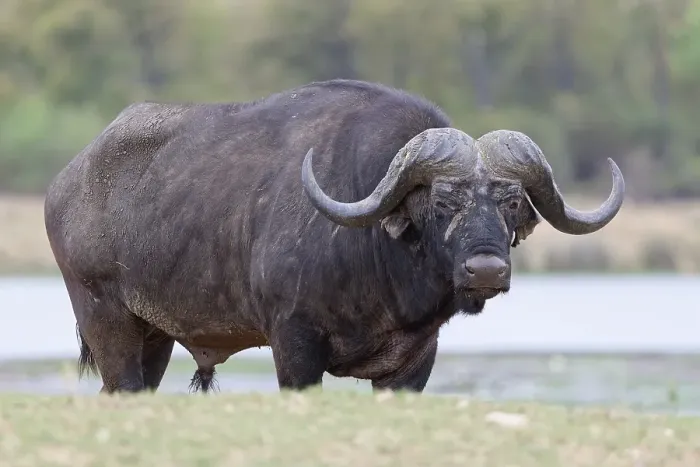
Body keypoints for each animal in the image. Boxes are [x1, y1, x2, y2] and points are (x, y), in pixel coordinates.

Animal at [44, 79, 625, 394]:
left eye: (511, 202)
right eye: (441, 201)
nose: (486, 270)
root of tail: (66, 183)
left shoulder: (414, 364)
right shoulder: (294, 345)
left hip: (155, 337)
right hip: (107, 320)